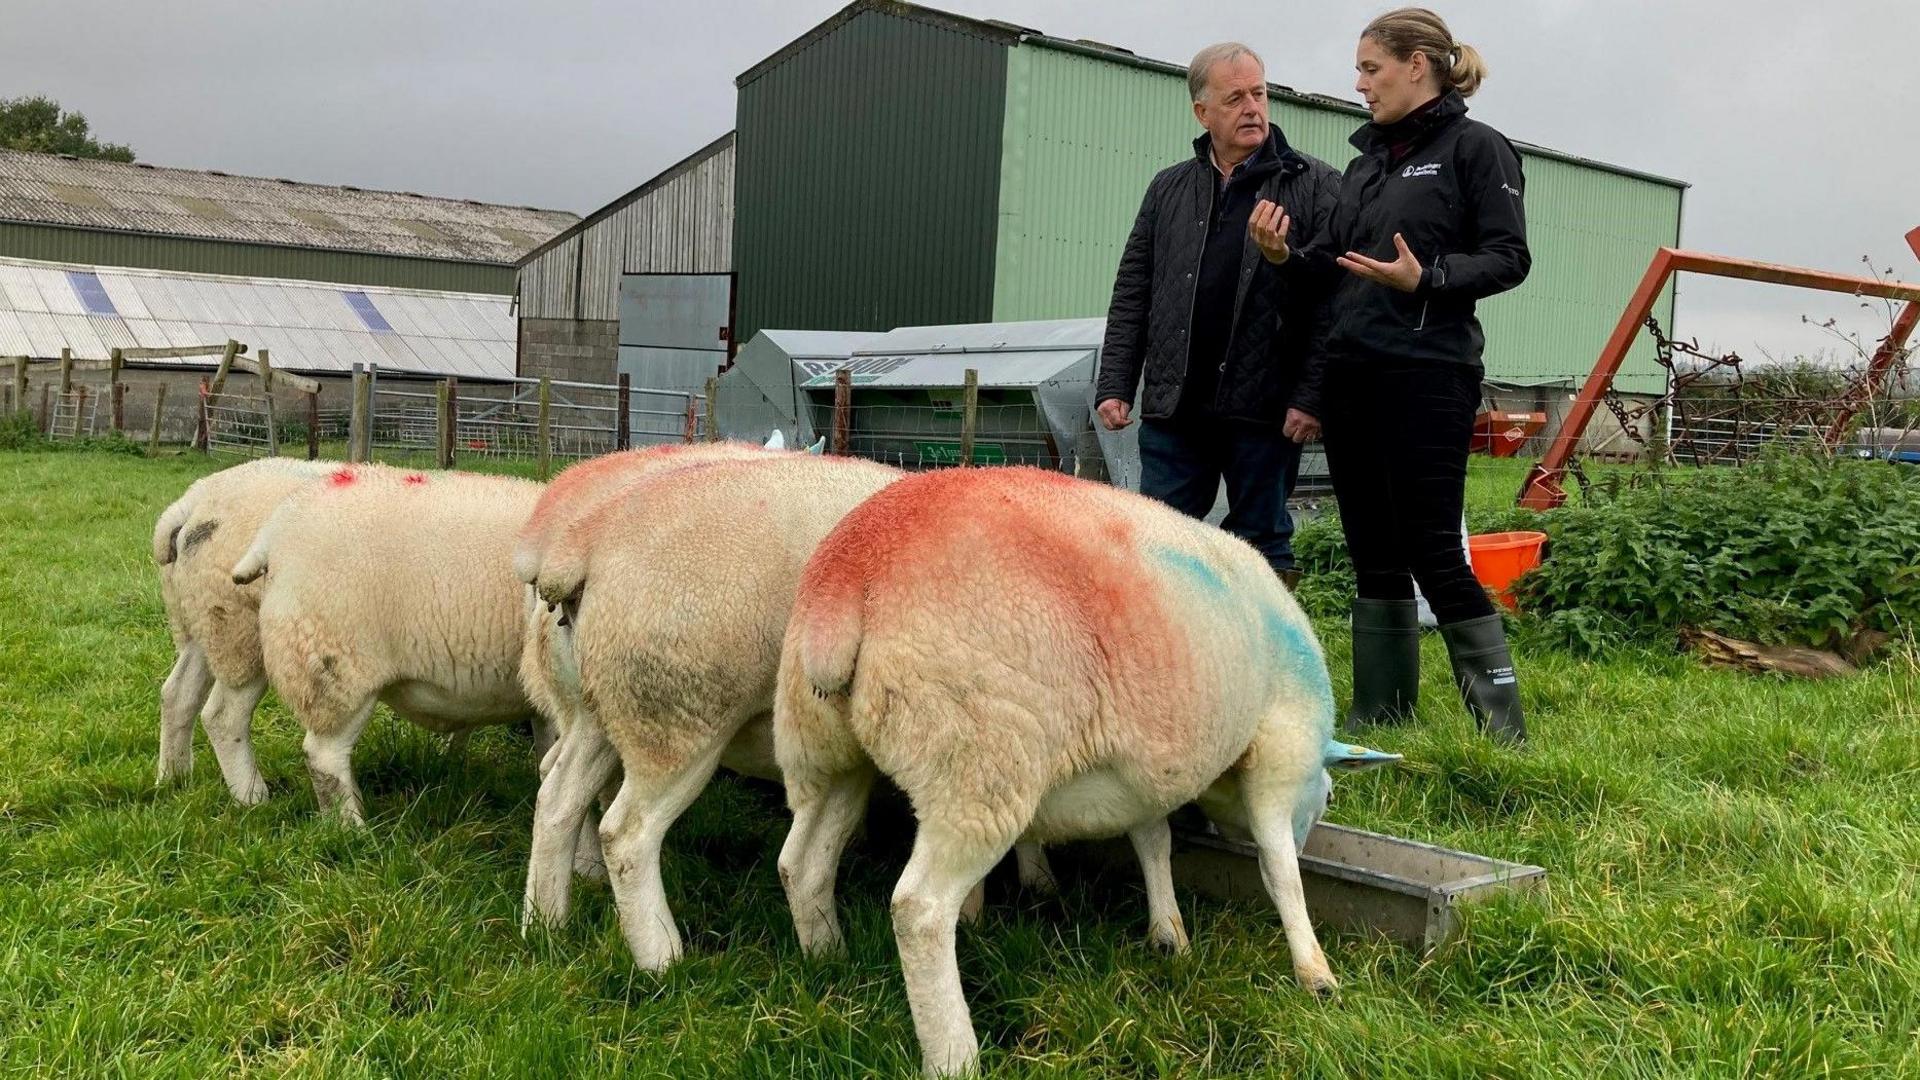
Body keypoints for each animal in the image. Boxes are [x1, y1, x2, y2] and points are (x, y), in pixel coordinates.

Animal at [155, 453, 343, 799]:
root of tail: (192, 500)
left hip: (207, 620)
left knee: (177, 694)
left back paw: (173, 778)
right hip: (241, 629)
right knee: (223, 716)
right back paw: (253, 797)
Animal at [771, 466, 1405, 1068]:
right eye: (1326, 799)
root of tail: (850, 578)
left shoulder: (1143, 773)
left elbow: (1153, 842)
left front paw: (1166, 934)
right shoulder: (1280, 748)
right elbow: (1279, 873)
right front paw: (1316, 975)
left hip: (824, 750)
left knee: (801, 862)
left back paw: (827, 962)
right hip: (979, 759)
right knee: (918, 910)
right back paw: (955, 1055)